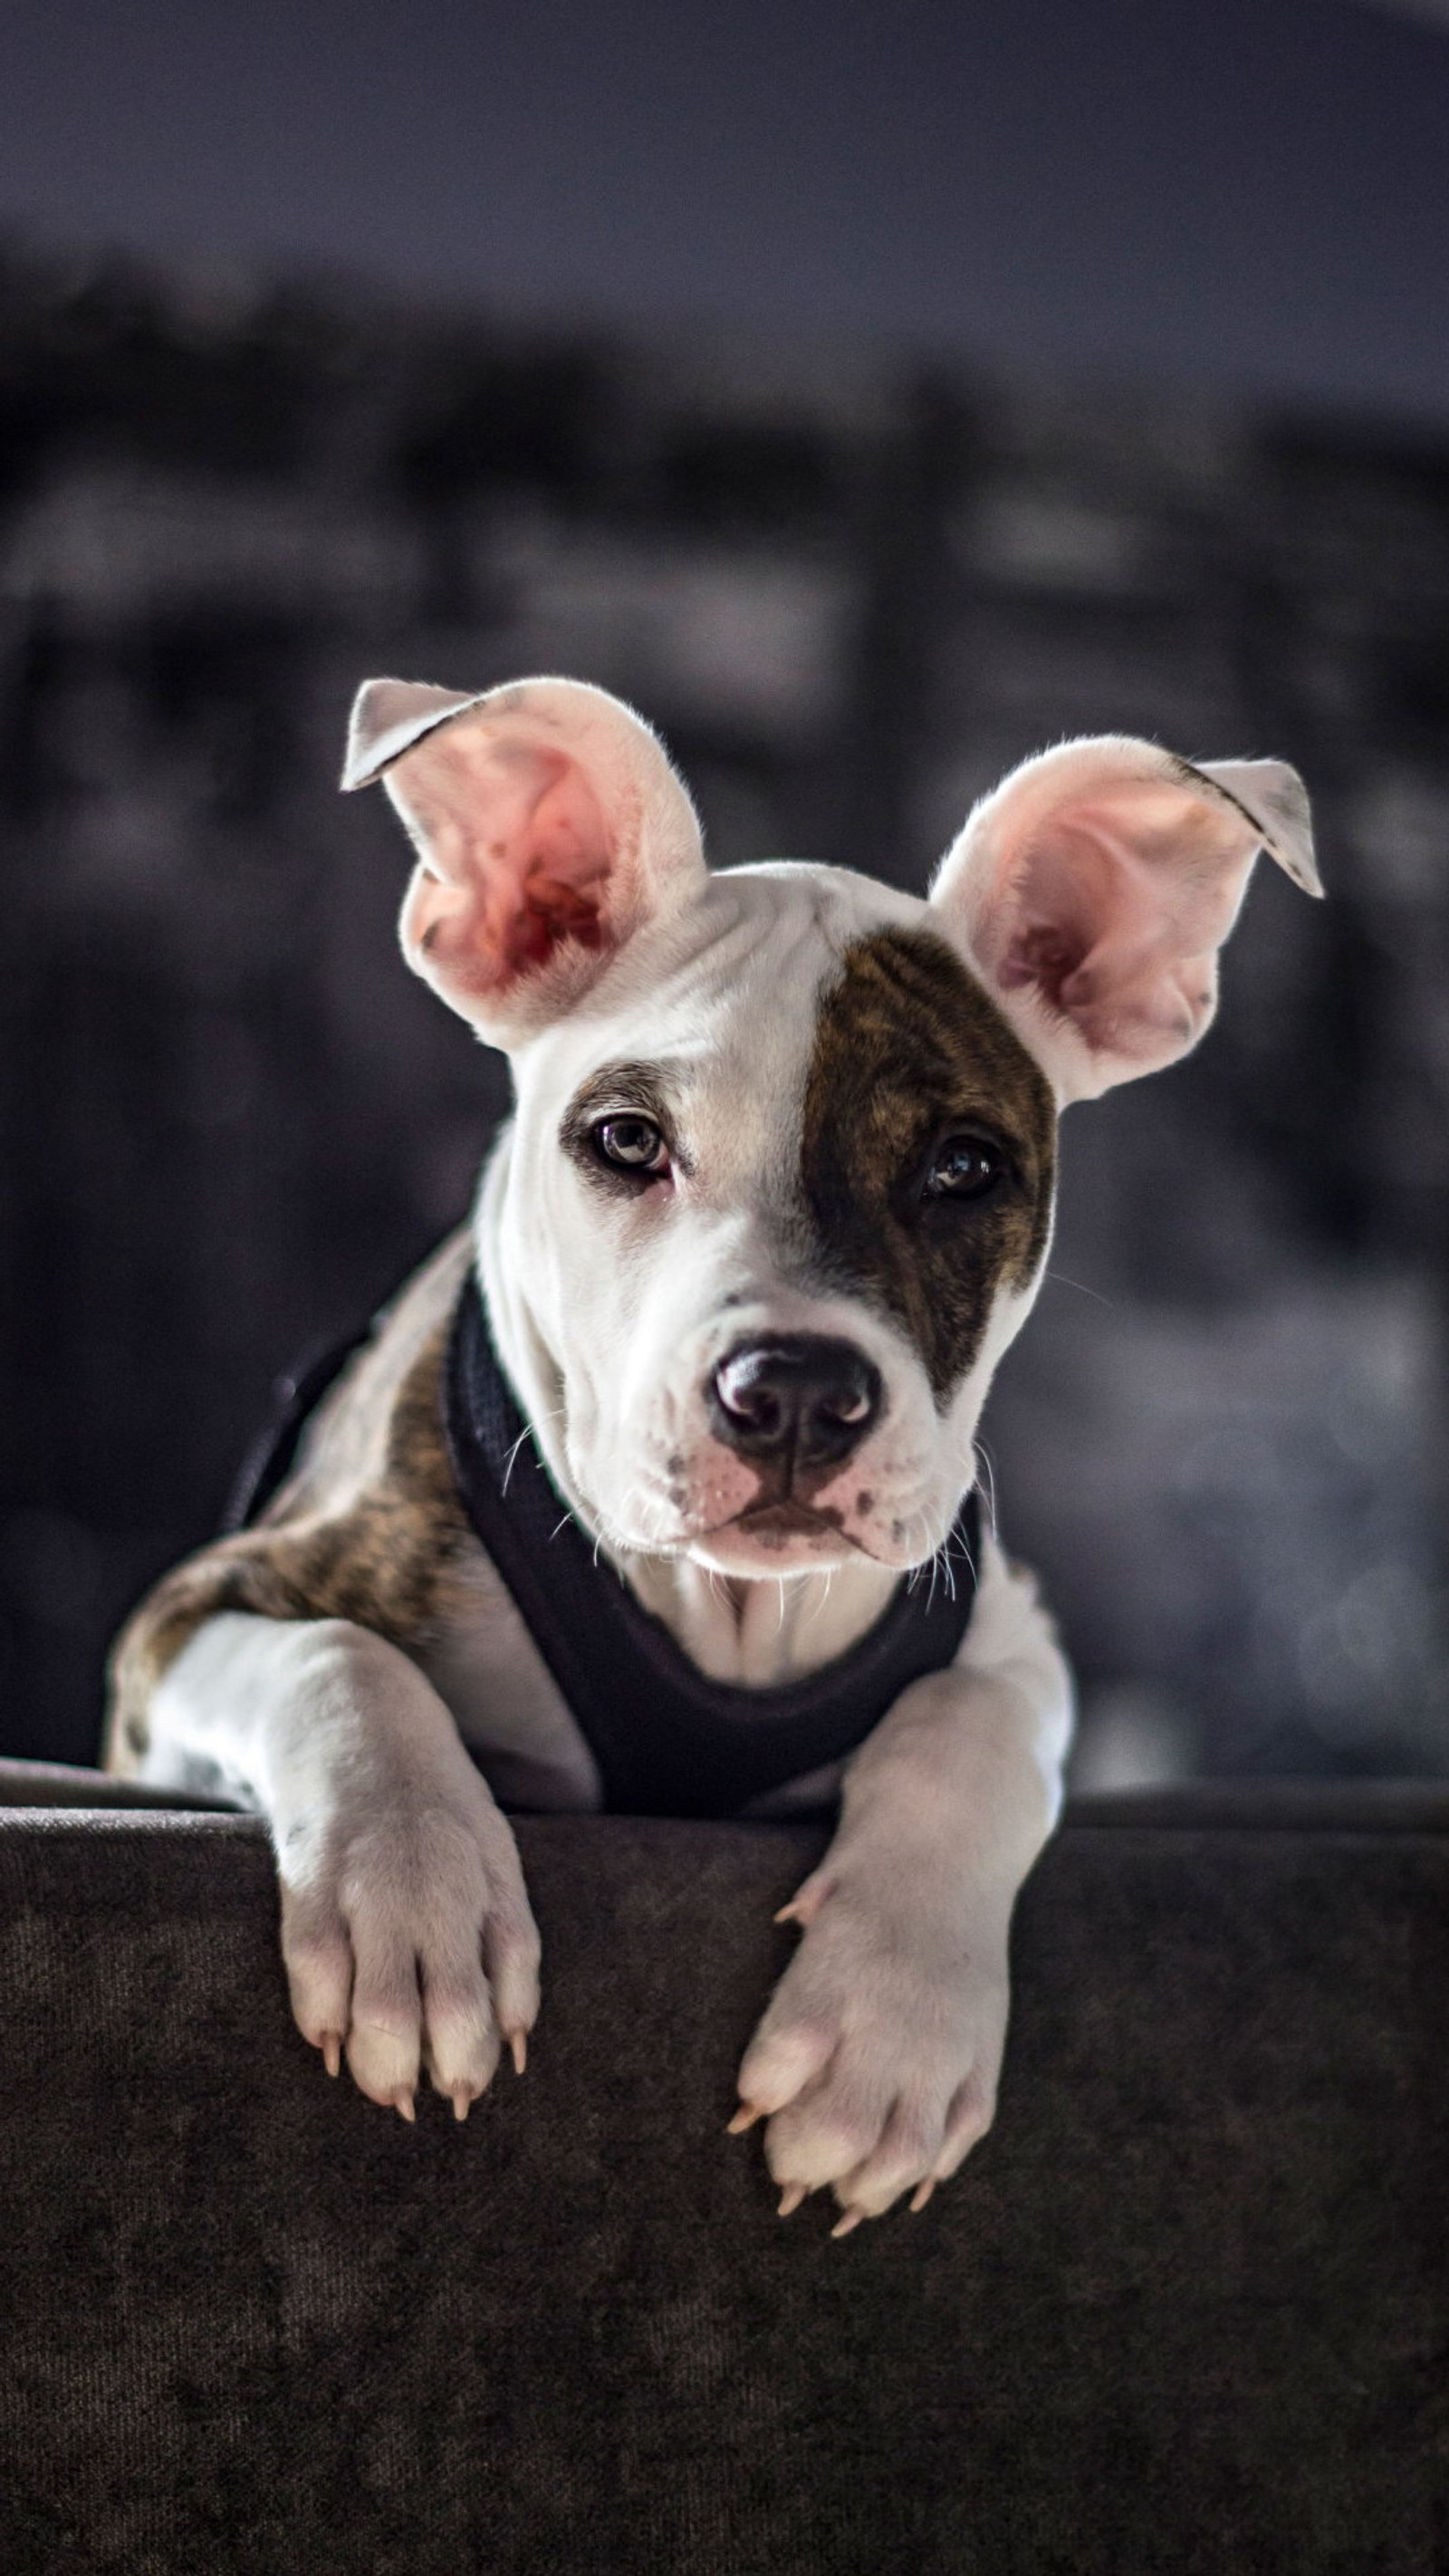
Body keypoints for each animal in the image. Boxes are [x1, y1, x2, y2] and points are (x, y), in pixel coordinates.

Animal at [107, 679, 1318, 2235]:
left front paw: (888, 2031)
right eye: (626, 1141)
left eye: (968, 1168)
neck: (731, 1618)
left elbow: (971, 1733)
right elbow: (338, 1656)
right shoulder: (192, 1618)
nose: (794, 1392)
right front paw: (415, 1903)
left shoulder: (1012, 1638)